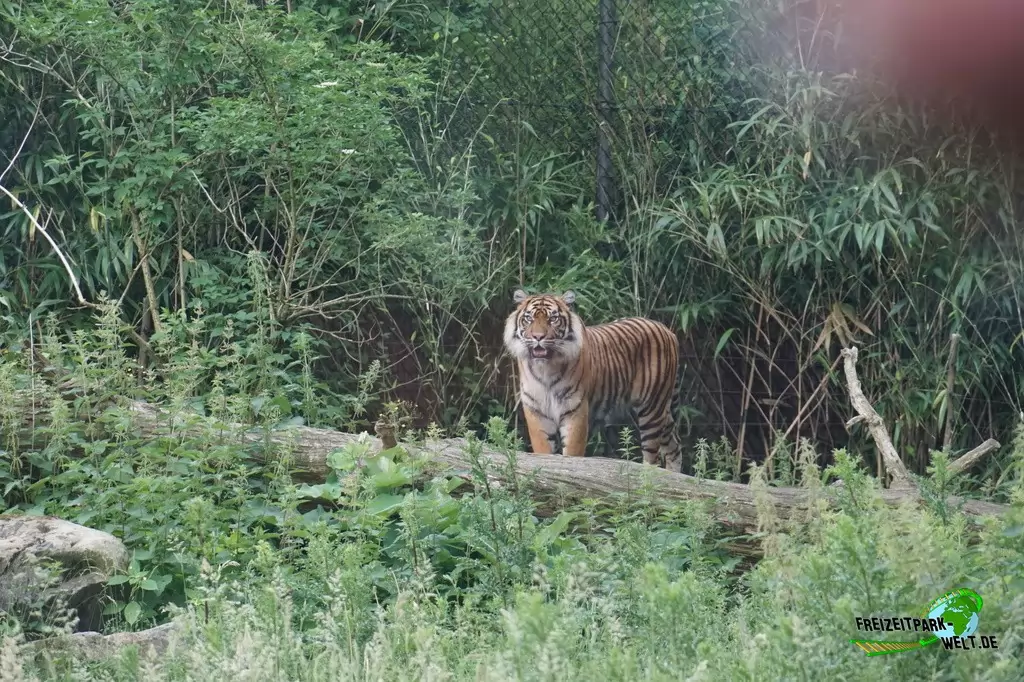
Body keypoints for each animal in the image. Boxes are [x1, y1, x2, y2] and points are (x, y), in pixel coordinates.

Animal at [503, 288, 683, 472]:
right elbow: (543, 452)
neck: (545, 368)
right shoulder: (536, 411)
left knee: (652, 460)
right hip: (656, 410)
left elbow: (572, 454)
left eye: (553, 319)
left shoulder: (576, 410)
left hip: (652, 409)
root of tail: (668, 331)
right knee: (674, 444)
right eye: (529, 318)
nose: (538, 337)